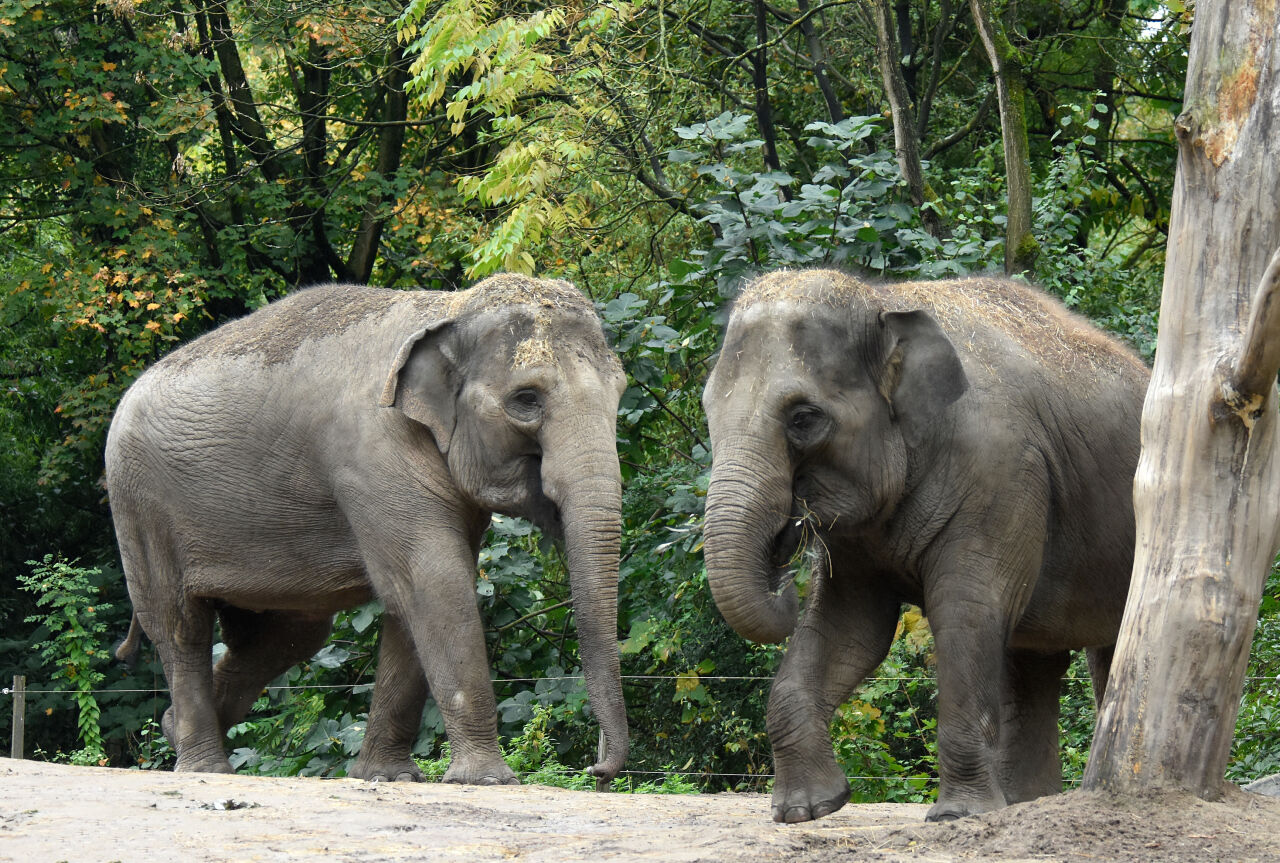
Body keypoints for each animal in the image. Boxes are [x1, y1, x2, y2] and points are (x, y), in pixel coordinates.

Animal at [106, 272, 629, 783]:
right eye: (526, 400)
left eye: (620, 392)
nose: (597, 769)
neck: (449, 308)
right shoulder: (375, 454)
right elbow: (434, 583)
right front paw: (487, 780)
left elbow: (411, 600)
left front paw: (387, 777)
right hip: (139, 505)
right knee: (182, 627)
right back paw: (202, 766)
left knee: (285, 637)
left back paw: (172, 728)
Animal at [701, 267, 1152, 819]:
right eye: (706, 409)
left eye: (803, 418)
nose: (784, 577)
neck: (883, 301)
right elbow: (852, 625)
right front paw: (806, 809)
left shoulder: (1001, 472)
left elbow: (965, 610)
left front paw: (959, 815)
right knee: (1034, 658)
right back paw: (1025, 804)